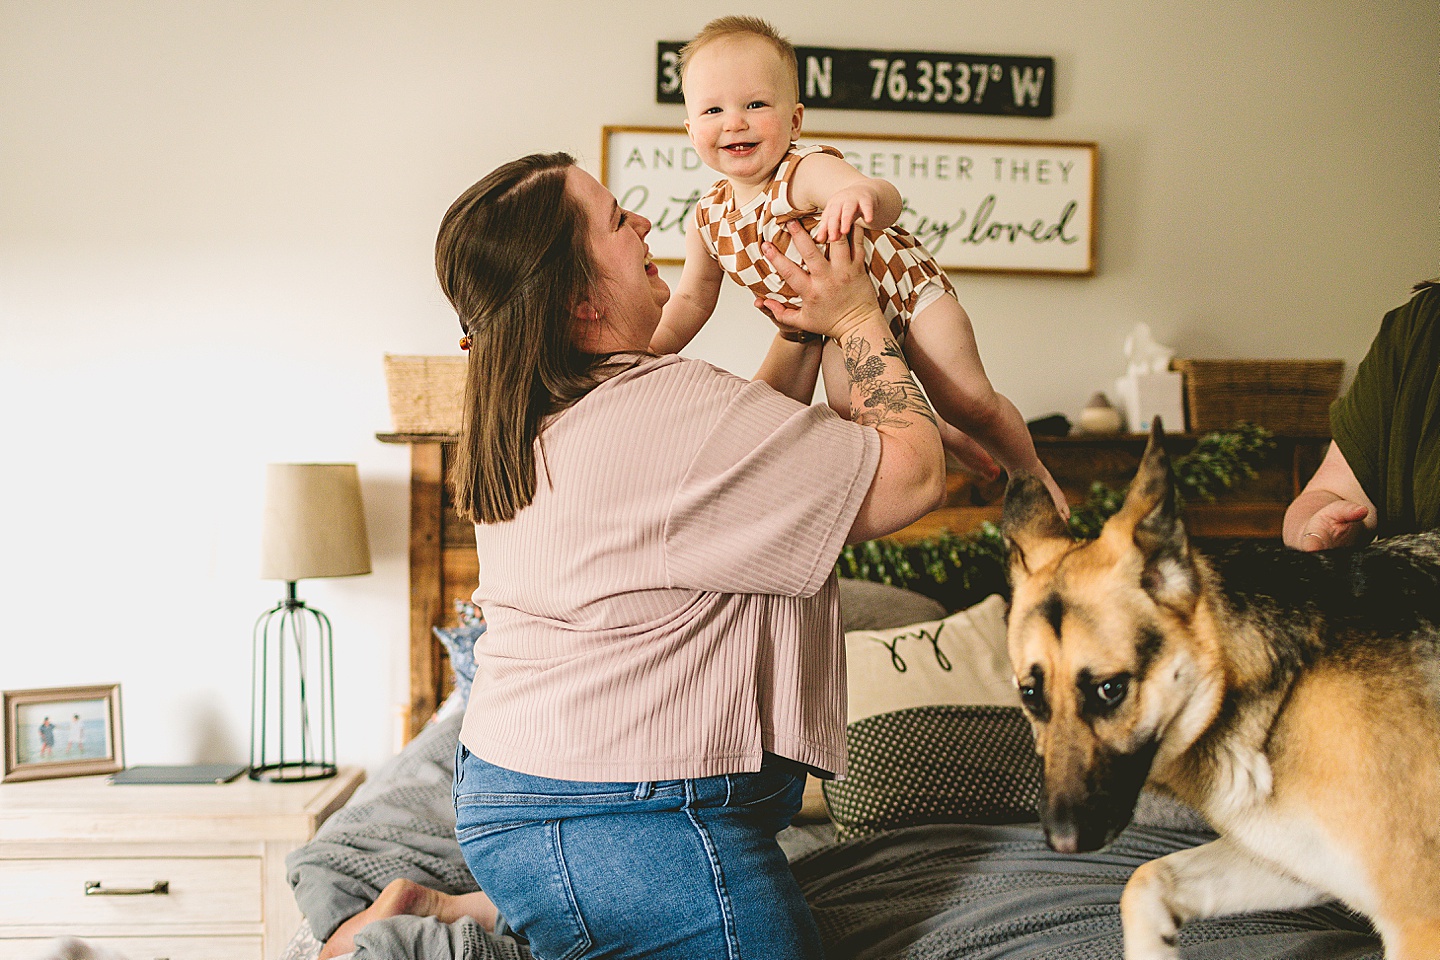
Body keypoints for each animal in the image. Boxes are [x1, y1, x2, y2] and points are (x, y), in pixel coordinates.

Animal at [1002, 423, 1440, 955]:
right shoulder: (1299, 865)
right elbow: (1145, 881)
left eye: (1110, 689)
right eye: (1030, 696)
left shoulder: (1419, 919)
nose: (1063, 842)